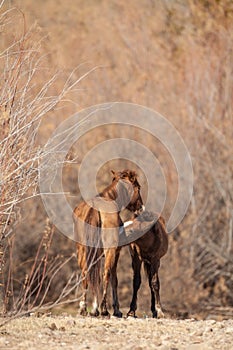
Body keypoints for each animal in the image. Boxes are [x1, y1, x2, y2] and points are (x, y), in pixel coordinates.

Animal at [73, 169, 143, 318]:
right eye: (138, 188)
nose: (140, 208)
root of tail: (95, 209)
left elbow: (96, 277)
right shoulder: (116, 252)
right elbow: (113, 279)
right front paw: (116, 310)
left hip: (82, 251)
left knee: (85, 273)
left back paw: (85, 309)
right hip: (109, 251)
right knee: (106, 274)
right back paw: (104, 309)